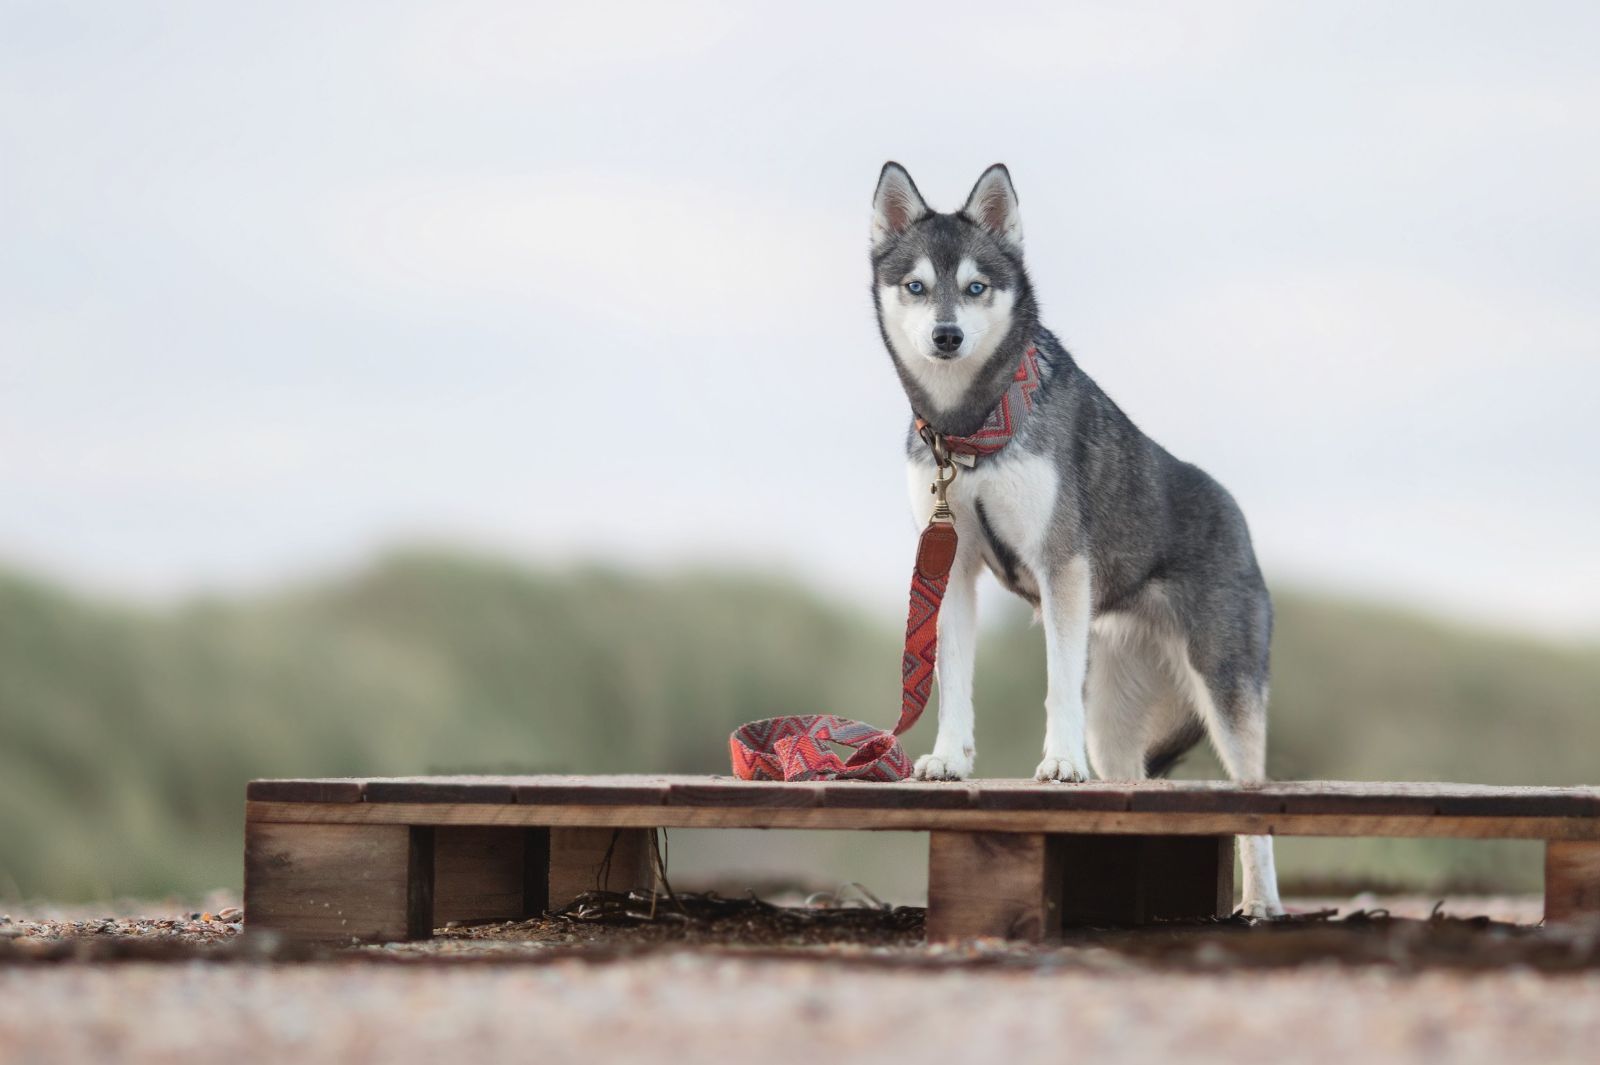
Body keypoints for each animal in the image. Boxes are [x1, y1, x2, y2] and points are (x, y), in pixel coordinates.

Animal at [870, 157, 1280, 914]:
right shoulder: (951, 567)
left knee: (1256, 811)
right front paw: (950, 758)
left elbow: (1056, 682)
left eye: (976, 286)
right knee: (1133, 778)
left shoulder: (1059, 567)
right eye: (916, 286)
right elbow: (954, 680)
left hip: (1226, 689)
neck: (972, 427)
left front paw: (1059, 762)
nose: (947, 335)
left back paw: (1263, 904)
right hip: (1117, 718)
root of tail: (1235, 514)